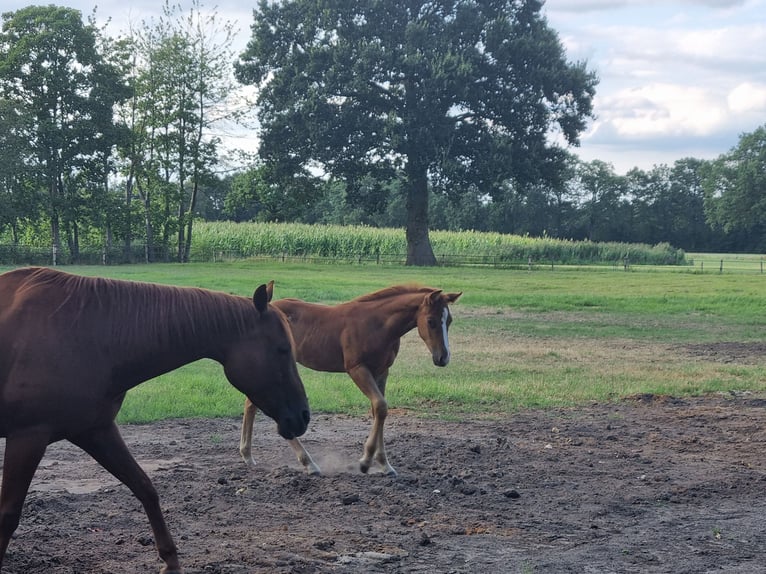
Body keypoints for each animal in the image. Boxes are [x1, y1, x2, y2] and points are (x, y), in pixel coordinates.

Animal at [0, 267, 309, 574]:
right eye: (282, 349)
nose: (303, 416)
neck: (88, 333)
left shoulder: (95, 430)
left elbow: (145, 488)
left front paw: (170, 561)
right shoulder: (28, 437)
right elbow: (9, 513)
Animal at [239, 283, 461, 477]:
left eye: (449, 320)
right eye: (431, 321)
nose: (443, 358)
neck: (377, 325)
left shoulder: (382, 372)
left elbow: (379, 411)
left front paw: (384, 465)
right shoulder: (357, 369)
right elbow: (380, 406)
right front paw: (365, 462)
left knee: (251, 404)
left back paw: (248, 455)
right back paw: (309, 463)